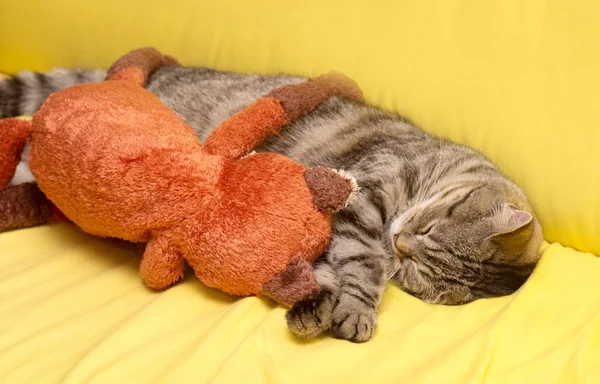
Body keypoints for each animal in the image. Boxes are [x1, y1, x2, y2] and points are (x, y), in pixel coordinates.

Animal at [0, 66, 544, 342]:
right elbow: (362, 265)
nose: (403, 244)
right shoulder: (364, 200)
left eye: (416, 274)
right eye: (430, 229)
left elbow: (327, 270)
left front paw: (316, 307)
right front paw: (352, 309)